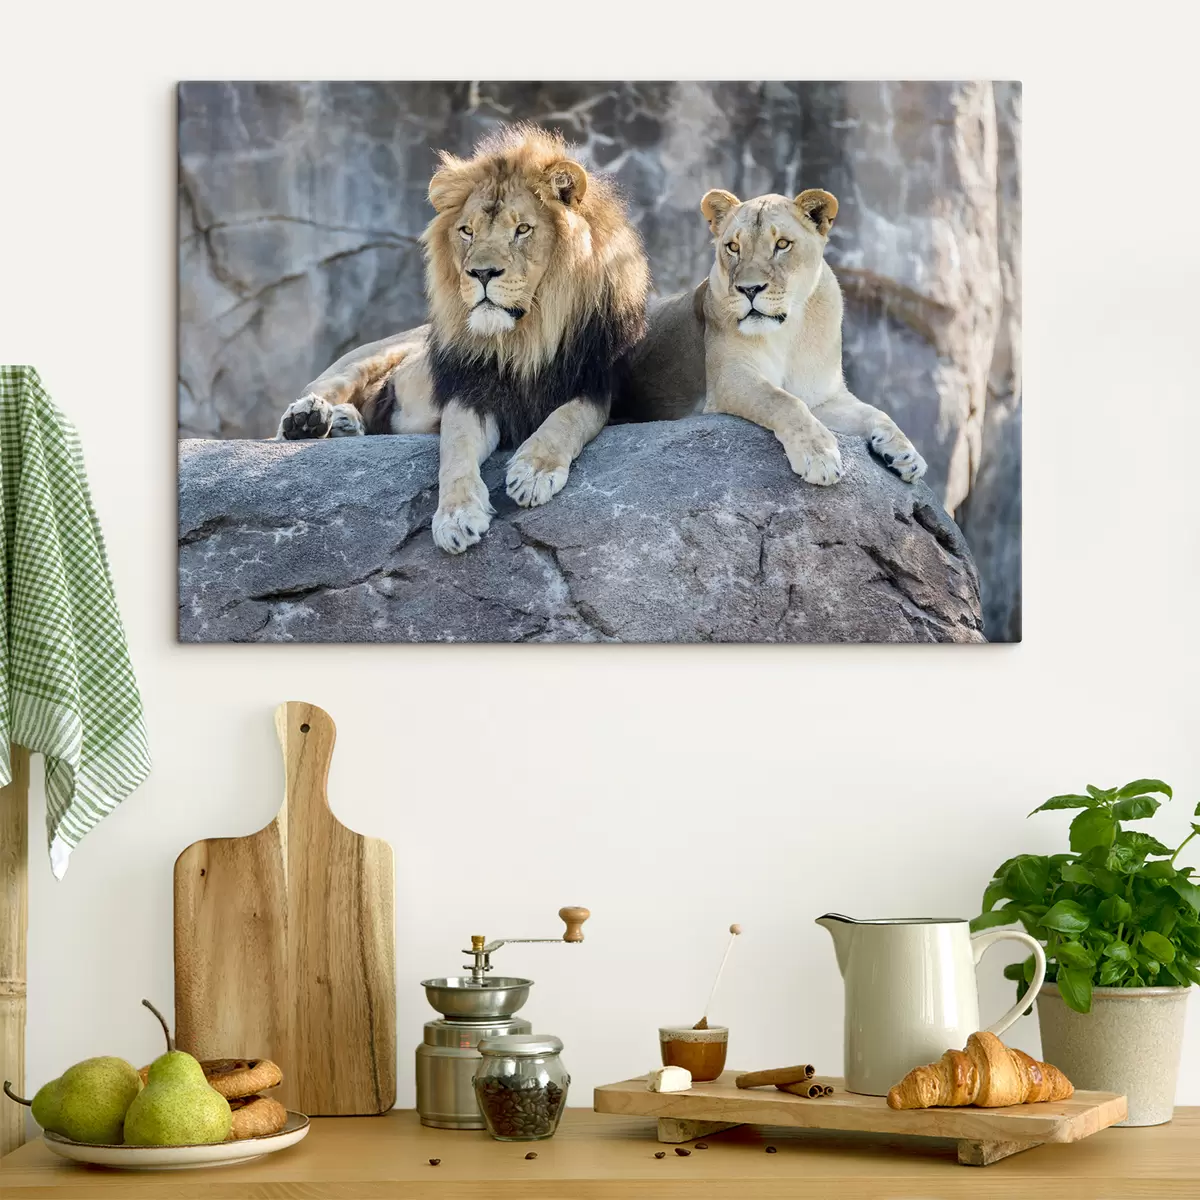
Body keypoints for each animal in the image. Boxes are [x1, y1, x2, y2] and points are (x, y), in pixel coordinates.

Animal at [277, 124, 649, 554]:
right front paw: (456, 517)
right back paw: (308, 419)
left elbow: (568, 418)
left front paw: (533, 471)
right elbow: (455, 450)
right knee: (315, 396)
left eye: (522, 229)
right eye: (467, 231)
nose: (481, 273)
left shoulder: (598, 385)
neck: (524, 339)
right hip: (364, 359)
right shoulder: (470, 392)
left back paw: (343, 423)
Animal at [618, 187, 927, 487]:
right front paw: (819, 456)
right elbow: (783, 401)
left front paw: (906, 454)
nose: (749, 289)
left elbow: (876, 412)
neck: (788, 332)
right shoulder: (730, 378)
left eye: (782, 244)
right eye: (733, 247)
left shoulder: (823, 396)